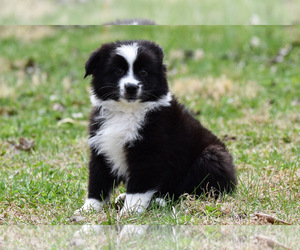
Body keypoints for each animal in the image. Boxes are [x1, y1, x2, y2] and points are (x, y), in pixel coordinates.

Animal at [75, 40, 237, 216]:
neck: (126, 111)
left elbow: (139, 187)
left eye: (144, 72)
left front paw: (129, 212)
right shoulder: (101, 149)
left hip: (212, 157)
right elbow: (97, 182)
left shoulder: (149, 152)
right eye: (118, 71)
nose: (131, 87)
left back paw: (161, 200)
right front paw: (88, 209)